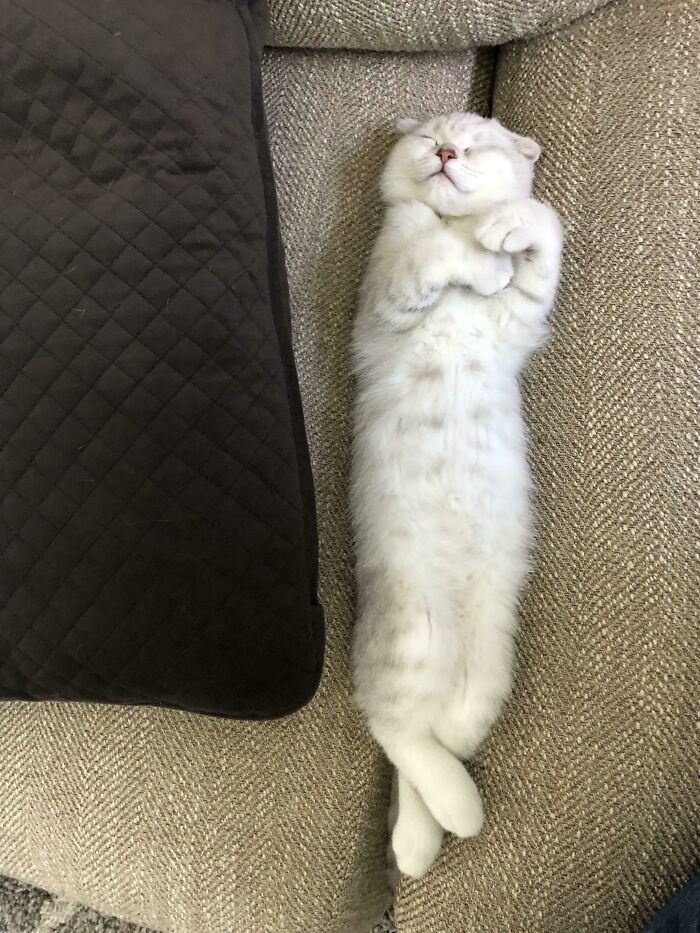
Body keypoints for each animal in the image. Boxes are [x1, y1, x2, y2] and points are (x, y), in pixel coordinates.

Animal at [350, 113, 564, 876]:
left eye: (475, 145)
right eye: (431, 139)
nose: (444, 152)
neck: (449, 217)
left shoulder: (523, 315)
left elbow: (542, 227)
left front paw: (507, 229)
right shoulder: (386, 292)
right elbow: (435, 253)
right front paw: (481, 255)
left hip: (485, 674)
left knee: (436, 738)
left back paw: (430, 828)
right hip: (412, 633)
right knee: (392, 723)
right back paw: (443, 824)